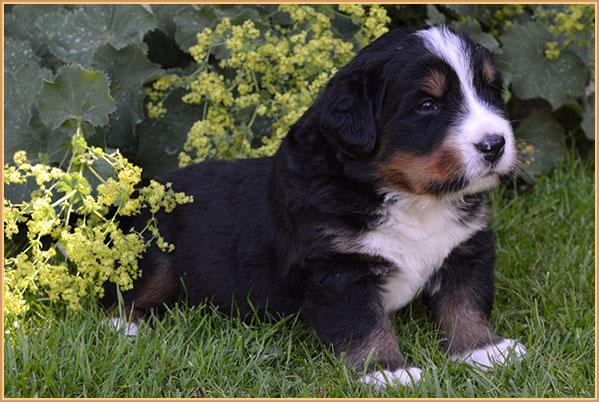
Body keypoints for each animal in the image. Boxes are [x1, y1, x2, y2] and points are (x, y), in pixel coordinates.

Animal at [103, 26, 526, 388]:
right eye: (427, 105)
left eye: (490, 91)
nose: (495, 144)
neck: (411, 199)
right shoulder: (336, 267)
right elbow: (364, 324)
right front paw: (385, 372)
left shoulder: (464, 248)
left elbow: (465, 303)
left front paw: (485, 351)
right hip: (153, 250)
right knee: (124, 292)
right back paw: (125, 329)